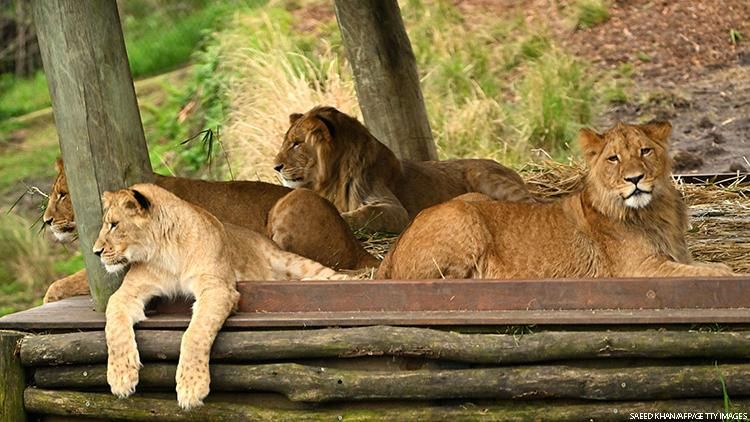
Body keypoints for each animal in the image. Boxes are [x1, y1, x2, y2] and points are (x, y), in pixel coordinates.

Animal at [42, 159, 377, 303]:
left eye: (61, 194)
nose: (46, 221)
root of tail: (359, 246)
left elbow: (69, 281)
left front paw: (49, 297)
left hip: (291, 203)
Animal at [97, 183, 347, 410]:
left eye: (114, 225)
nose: (95, 252)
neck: (164, 252)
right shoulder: (128, 292)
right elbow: (114, 324)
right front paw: (120, 376)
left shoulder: (217, 288)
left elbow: (195, 333)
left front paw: (191, 387)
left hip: (290, 260)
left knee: (335, 275)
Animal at [273, 106, 537, 233]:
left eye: (296, 143)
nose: (275, 167)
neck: (333, 177)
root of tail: (508, 167)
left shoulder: (395, 210)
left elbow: (365, 214)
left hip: (486, 177)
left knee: (533, 203)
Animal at [377, 121, 736, 280]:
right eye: (614, 159)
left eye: (645, 151)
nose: (634, 179)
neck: (655, 211)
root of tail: (393, 248)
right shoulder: (639, 269)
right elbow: (717, 274)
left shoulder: (676, 258)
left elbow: (714, 267)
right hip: (464, 218)